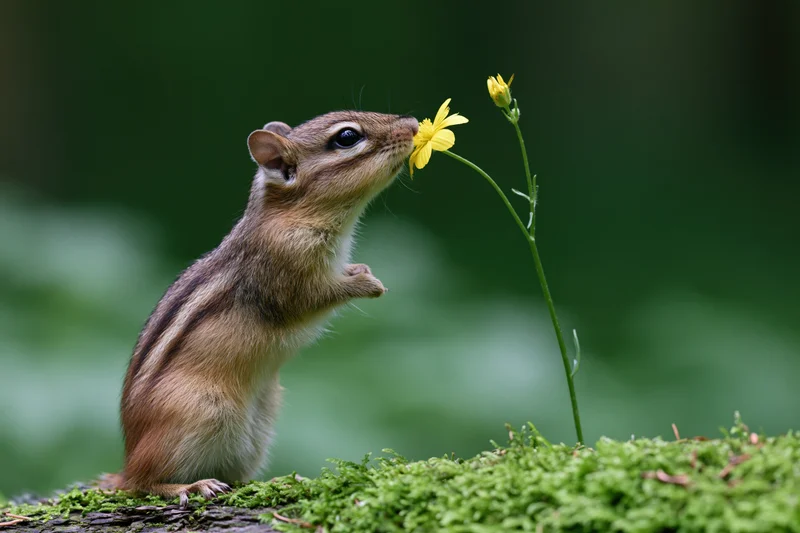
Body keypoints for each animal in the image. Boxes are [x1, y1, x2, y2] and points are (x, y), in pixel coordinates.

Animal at [104, 111, 419, 506]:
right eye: (347, 137)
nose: (413, 125)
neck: (292, 215)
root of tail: (127, 458)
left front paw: (360, 270)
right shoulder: (285, 271)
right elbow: (310, 299)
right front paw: (367, 284)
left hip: (259, 426)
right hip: (198, 413)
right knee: (141, 483)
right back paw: (188, 486)